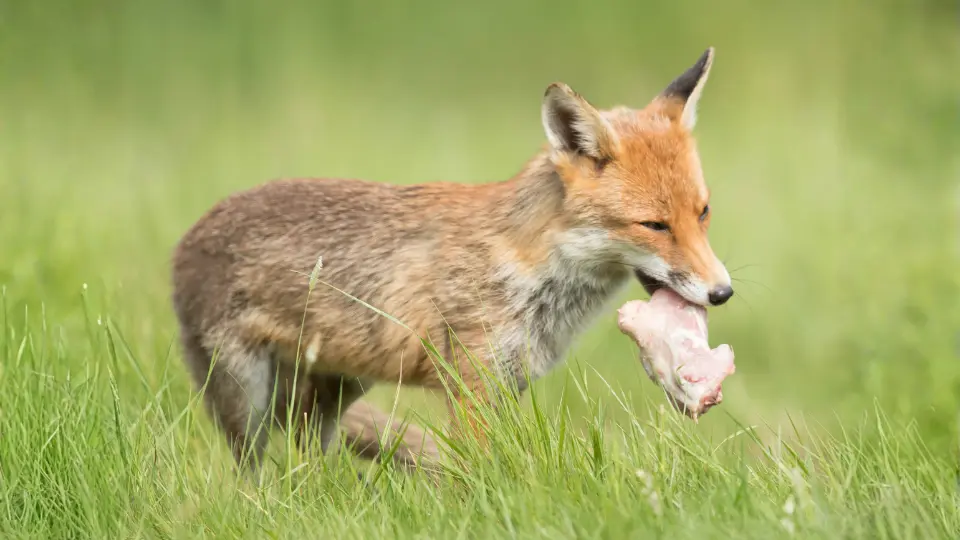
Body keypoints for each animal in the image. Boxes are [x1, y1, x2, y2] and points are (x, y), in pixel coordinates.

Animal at [171, 47, 733, 474]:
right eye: (654, 226)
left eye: (703, 213)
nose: (723, 292)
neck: (532, 270)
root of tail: (187, 235)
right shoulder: (471, 384)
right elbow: (478, 473)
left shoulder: (508, 384)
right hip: (245, 397)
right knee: (253, 473)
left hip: (339, 385)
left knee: (310, 447)